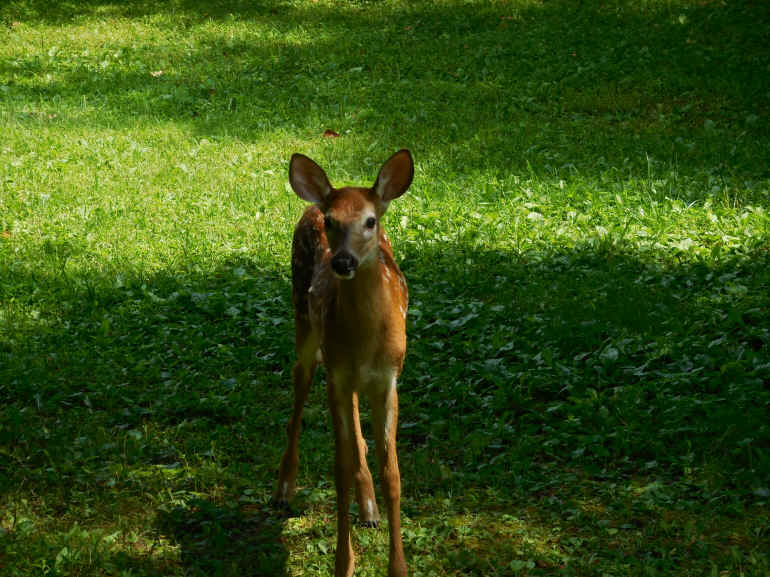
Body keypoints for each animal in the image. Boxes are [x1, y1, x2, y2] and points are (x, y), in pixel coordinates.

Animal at [274, 150, 414, 577]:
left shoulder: (388, 379)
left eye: (370, 220)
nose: (343, 261)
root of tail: (310, 204)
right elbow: (339, 470)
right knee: (299, 386)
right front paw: (343, 564)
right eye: (332, 222)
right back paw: (283, 487)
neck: (365, 341)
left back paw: (368, 508)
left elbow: (392, 473)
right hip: (304, 322)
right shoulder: (337, 374)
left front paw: (398, 567)